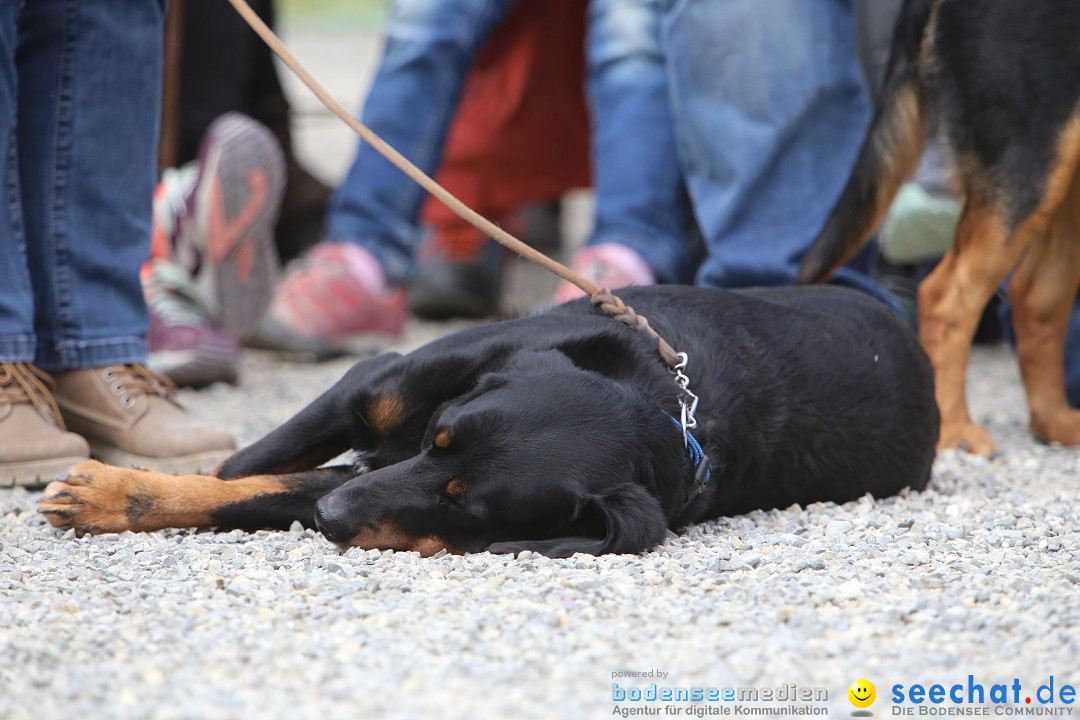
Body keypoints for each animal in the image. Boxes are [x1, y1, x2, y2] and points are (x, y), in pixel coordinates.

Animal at [39, 284, 937, 557]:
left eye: (466, 503)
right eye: (440, 435)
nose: (332, 521)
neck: (660, 404)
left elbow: (260, 488)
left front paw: (114, 496)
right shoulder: (366, 389)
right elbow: (238, 470)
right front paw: (117, 487)